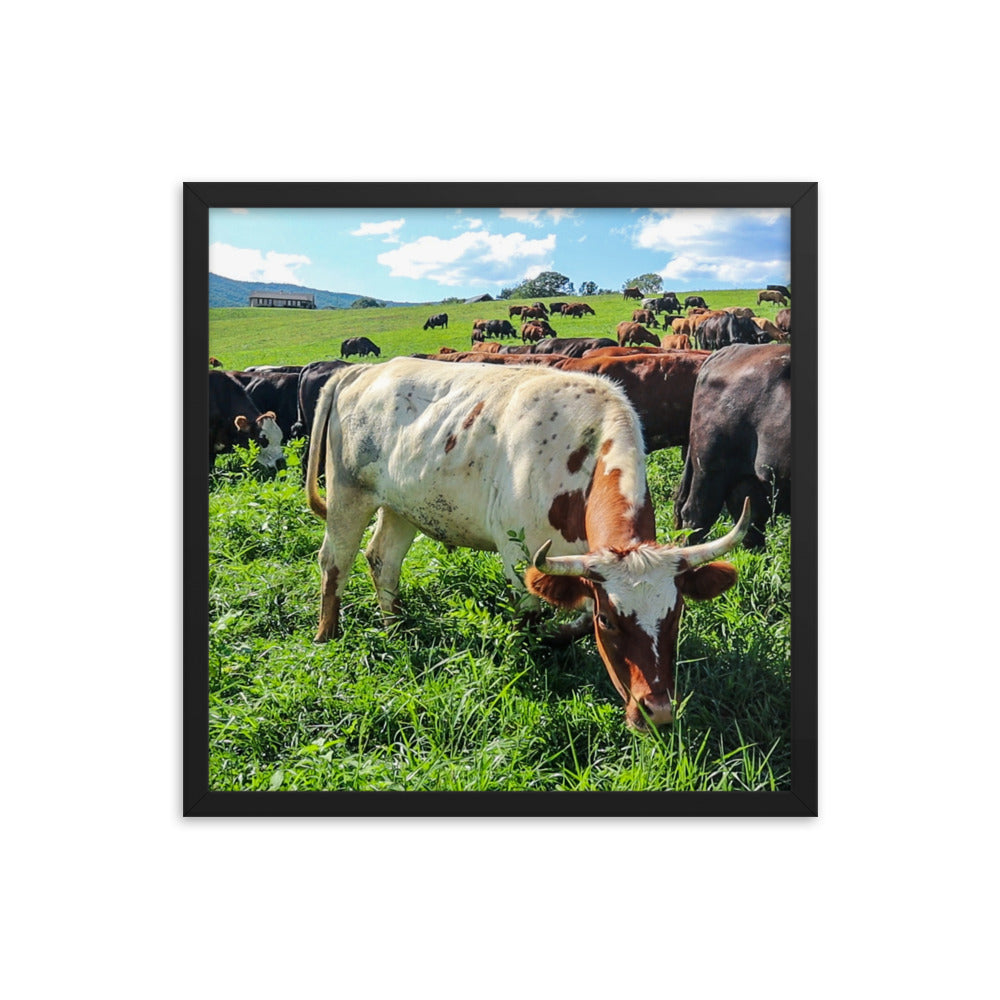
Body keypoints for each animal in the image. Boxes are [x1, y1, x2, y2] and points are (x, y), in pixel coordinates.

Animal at [306, 357, 750, 730]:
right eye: (610, 621)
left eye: (676, 614)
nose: (656, 712)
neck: (582, 454)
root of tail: (363, 370)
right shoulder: (520, 556)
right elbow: (531, 619)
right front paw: (533, 657)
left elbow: (575, 620)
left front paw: (558, 637)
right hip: (348, 495)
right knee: (334, 563)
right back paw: (327, 636)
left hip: (401, 507)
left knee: (383, 560)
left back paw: (396, 627)